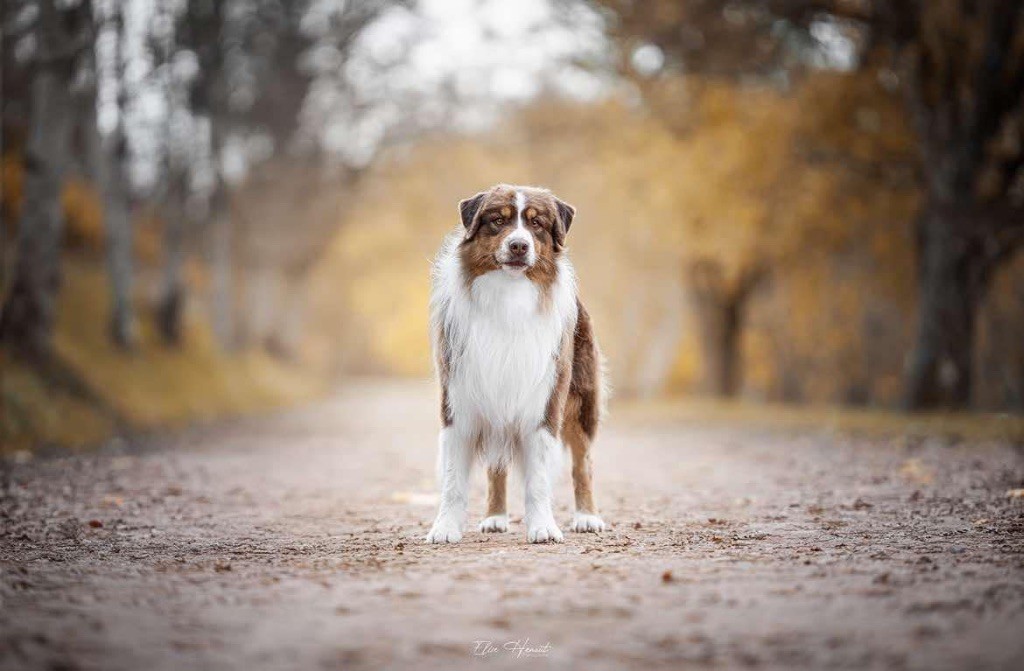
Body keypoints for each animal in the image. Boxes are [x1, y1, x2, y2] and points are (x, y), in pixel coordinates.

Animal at [425, 185, 602, 544]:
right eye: (498, 221)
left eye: (537, 224)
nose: (519, 245)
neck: (508, 295)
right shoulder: (459, 402)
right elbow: (453, 481)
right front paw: (445, 527)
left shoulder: (543, 404)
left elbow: (539, 480)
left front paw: (544, 527)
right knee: (497, 467)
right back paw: (495, 517)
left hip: (581, 404)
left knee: (583, 464)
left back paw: (587, 516)